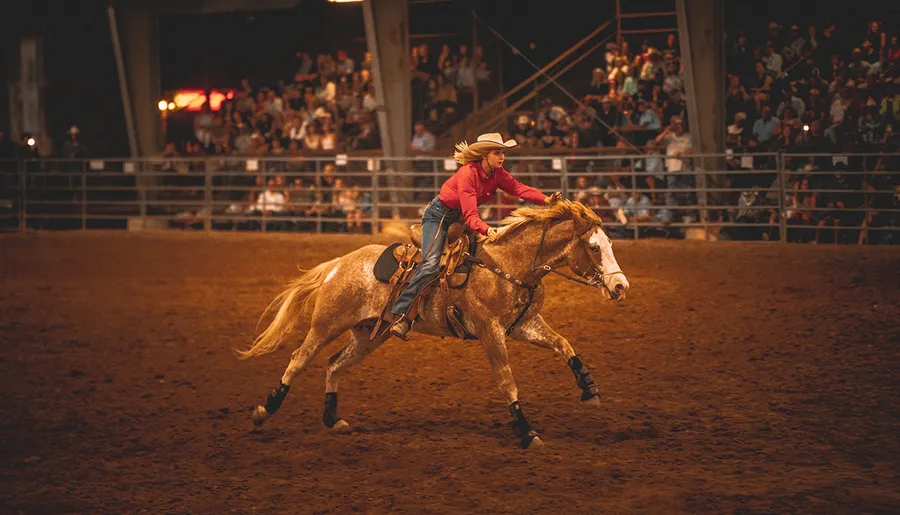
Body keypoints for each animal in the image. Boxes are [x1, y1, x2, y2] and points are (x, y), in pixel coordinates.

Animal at [239, 200, 632, 450]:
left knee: (334, 364)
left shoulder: (524, 324)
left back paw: (333, 418)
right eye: (594, 247)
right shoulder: (490, 331)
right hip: (326, 324)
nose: (620, 286)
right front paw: (526, 431)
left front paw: (589, 388)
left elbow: (564, 344)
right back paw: (263, 411)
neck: (508, 265)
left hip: (369, 335)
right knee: (298, 360)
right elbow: (507, 380)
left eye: (610, 242)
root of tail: (338, 264)